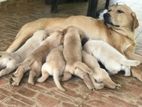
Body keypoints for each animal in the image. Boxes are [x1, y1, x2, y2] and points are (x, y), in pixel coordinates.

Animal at [6, 4, 142, 81]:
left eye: (120, 11)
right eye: (109, 9)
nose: (105, 15)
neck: (124, 33)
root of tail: (27, 23)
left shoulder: (129, 51)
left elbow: (138, 57)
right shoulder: (118, 49)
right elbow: (135, 65)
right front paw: (138, 73)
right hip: (22, 38)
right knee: (10, 51)